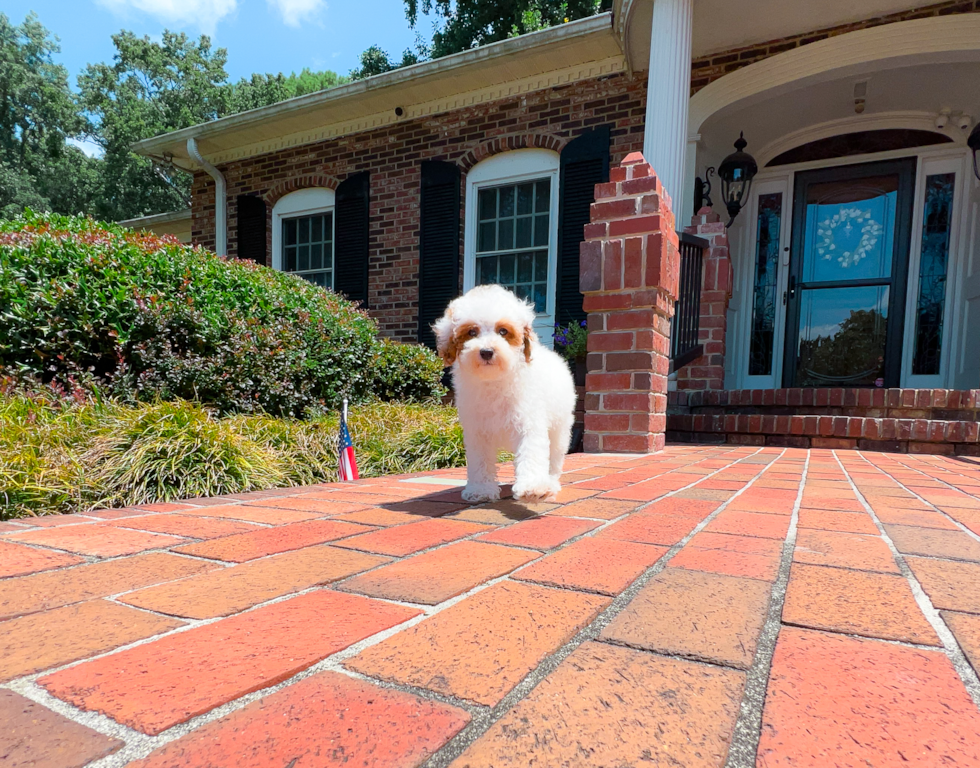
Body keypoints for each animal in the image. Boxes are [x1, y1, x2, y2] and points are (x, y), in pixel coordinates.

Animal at [432, 284, 580, 504]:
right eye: (472, 332)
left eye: (503, 331)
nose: (486, 351)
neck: (494, 381)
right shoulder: (477, 431)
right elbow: (480, 461)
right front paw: (481, 490)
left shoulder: (529, 422)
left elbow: (531, 452)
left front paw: (533, 488)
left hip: (559, 428)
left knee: (554, 457)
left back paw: (550, 483)